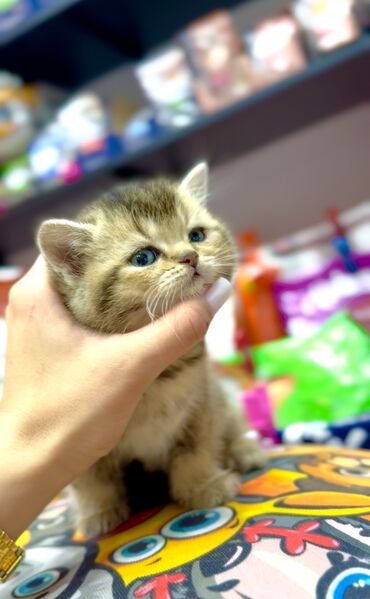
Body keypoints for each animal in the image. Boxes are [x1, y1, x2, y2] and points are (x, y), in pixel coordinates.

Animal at [36, 164, 266, 540]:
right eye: (144, 257)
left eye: (197, 235)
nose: (191, 256)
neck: (158, 378)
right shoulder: (76, 439)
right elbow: (91, 479)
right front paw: (98, 513)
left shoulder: (201, 403)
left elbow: (195, 450)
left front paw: (204, 487)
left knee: (232, 423)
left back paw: (246, 450)